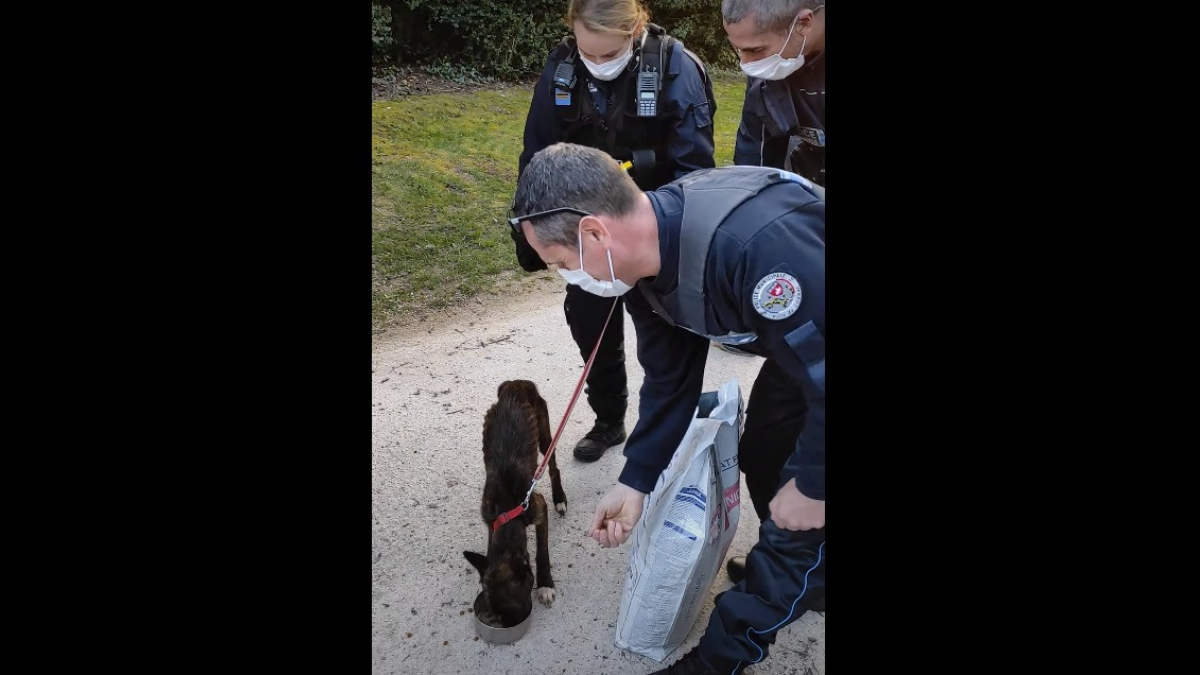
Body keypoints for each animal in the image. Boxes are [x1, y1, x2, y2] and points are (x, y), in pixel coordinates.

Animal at [463, 379, 566, 624]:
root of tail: (514, 383)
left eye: (511, 614)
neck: (506, 512)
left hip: (545, 436)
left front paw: (546, 584)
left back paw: (560, 498)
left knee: (553, 468)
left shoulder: (538, 508)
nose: (510, 625)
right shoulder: (489, 519)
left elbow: (542, 552)